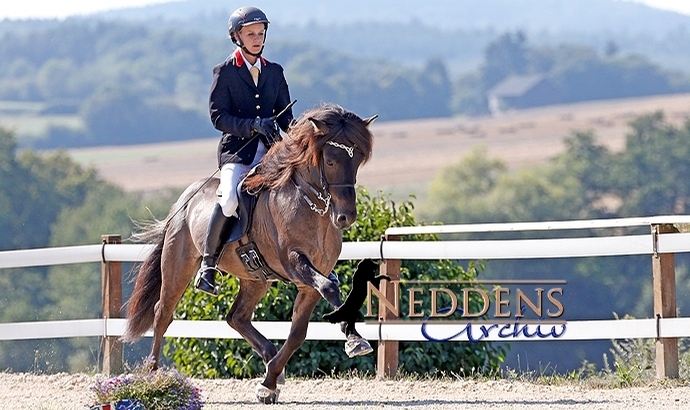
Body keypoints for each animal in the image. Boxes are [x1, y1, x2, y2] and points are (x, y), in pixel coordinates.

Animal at [121, 103, 374, 404]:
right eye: (332, 161)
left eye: (358, 160)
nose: (346, 217)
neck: (310, 205)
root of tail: (185, 199)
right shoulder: (296, 264)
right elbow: (329, 289)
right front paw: (355, 341)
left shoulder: (310, 280)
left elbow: (298, 333)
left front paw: (269, 382)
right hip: (177, 266)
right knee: (162, 314)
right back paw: (153, 376)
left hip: (255, 279)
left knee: (236, 317)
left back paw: (270, 359)